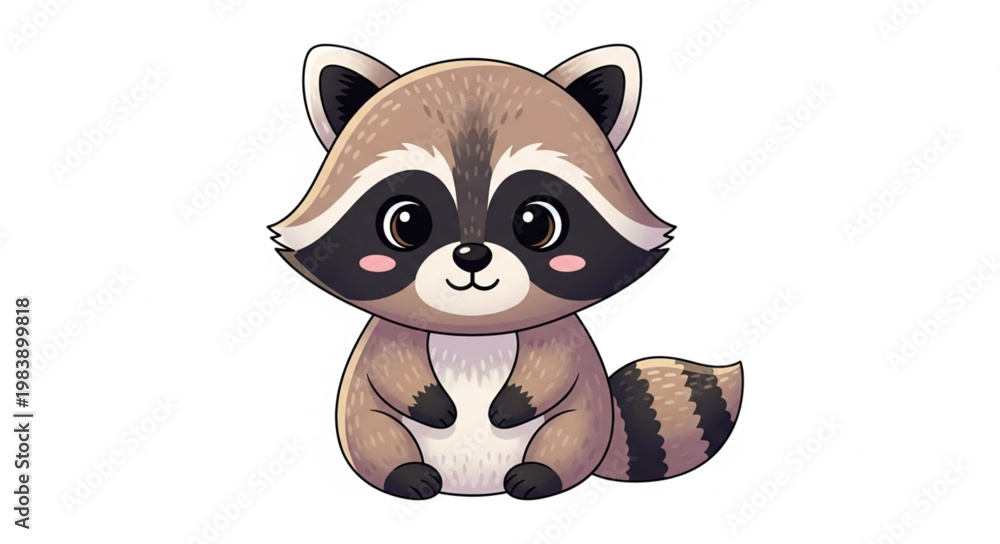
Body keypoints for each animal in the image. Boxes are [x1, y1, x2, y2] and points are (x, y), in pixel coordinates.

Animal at [269, 44, 743, 500]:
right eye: (407, 222)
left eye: (536, 222)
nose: (472, 255)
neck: (474, 331)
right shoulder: (390, 338)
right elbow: (390, 366)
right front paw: (427, 399)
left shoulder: (558, 336)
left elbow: (555, 366)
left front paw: (517, 400)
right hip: (361, 420)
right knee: (375, 433)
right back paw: (403, 473)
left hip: (589, 418)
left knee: (571, 432)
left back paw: (542, 473)